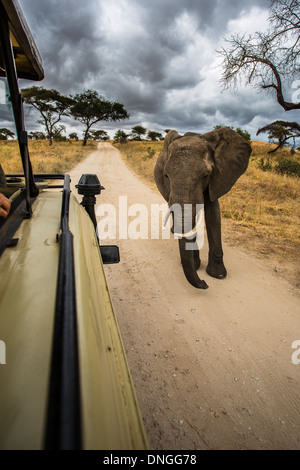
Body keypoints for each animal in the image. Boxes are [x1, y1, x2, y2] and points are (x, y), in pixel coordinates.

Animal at [154, 129, 252, 290]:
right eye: (166, 175)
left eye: (206, 175)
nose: (205, 284)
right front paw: (198, 267)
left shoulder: (217, 177)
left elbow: (213, 214)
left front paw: (218, 275)